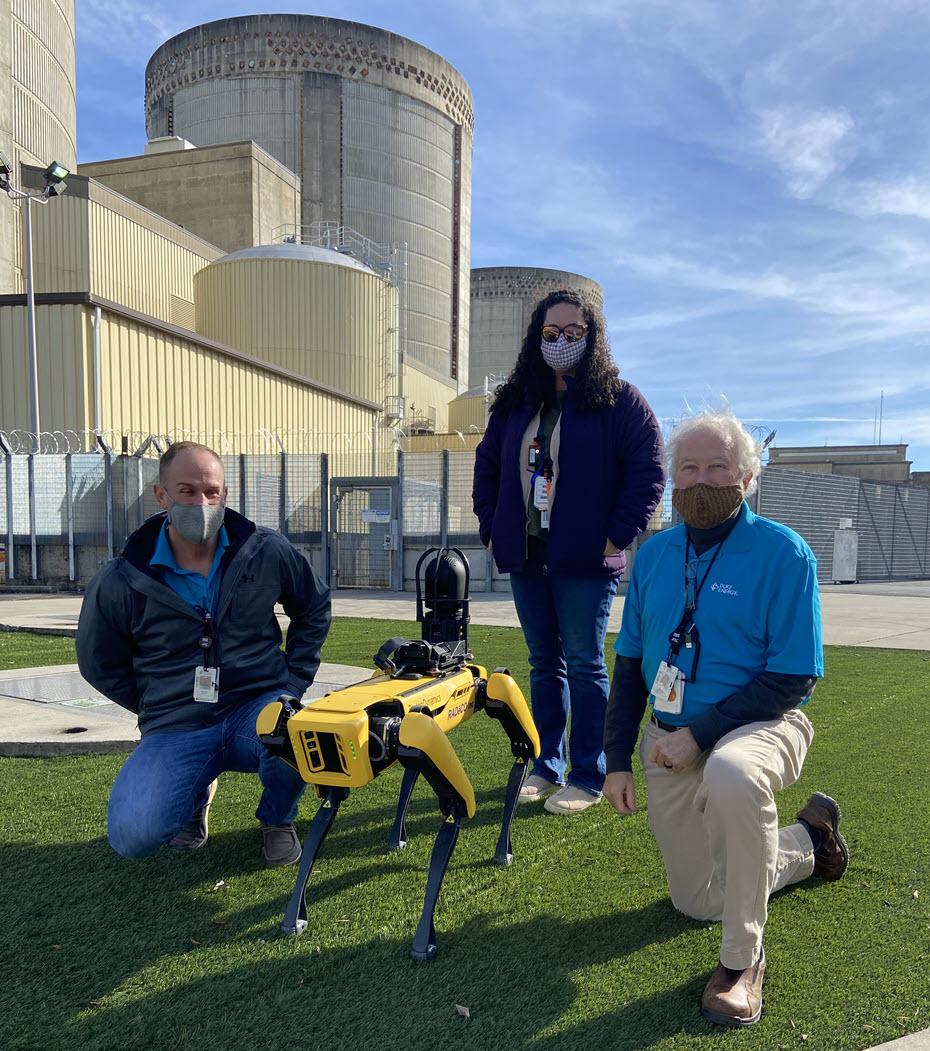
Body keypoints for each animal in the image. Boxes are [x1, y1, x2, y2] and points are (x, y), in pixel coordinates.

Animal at [257, 550, 542, 962]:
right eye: (310, 745)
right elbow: (328, 809)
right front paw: (294, 915)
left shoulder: (419, 729)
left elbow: (460, 804)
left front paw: (424, 938)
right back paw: (397, 838)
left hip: (488, 690)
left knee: (522, 747)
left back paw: (500, 847)